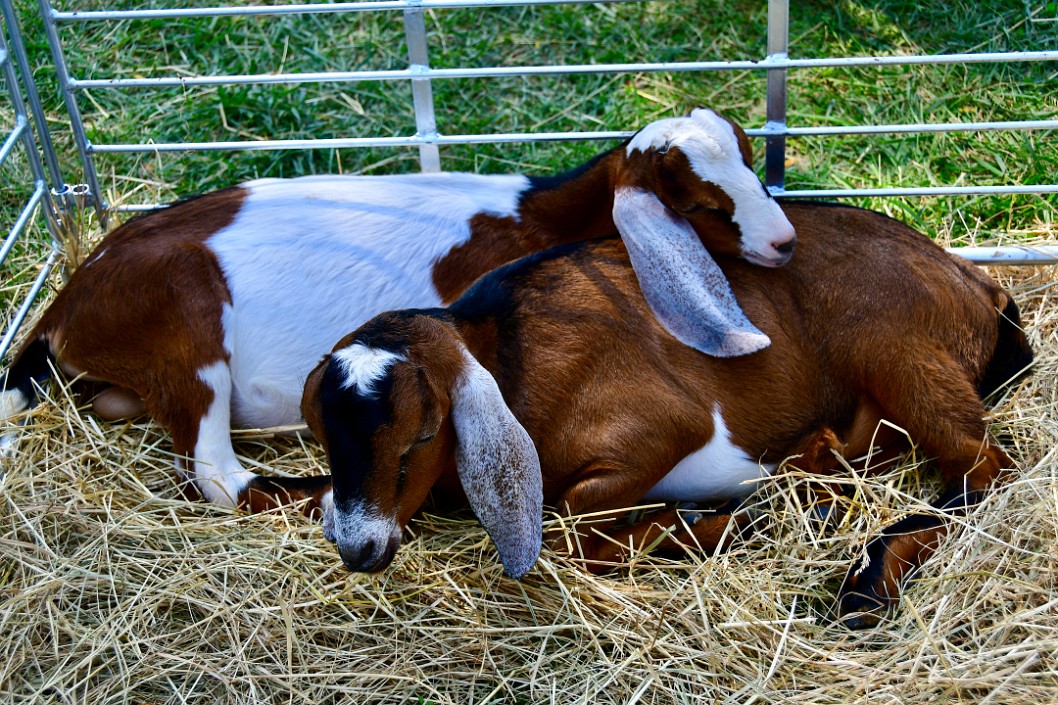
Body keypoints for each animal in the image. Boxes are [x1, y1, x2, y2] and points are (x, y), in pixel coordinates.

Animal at [0, 106, 795, 514]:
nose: (783, 241)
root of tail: (67, 300)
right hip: (187, 317)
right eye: (703, 205)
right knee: (216, 473)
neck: (538, 218)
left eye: (754, 164)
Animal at [300, 195, 1032, 626]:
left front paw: (690, 524)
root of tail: (977, 281)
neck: (505, 354)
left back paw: (865, 579)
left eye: (421, 435)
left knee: (984, 467)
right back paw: (807, 476)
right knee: (867, 439)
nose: (359, 547)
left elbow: (569, 531)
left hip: (892, 344)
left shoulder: (660, 427)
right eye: (325, 436)